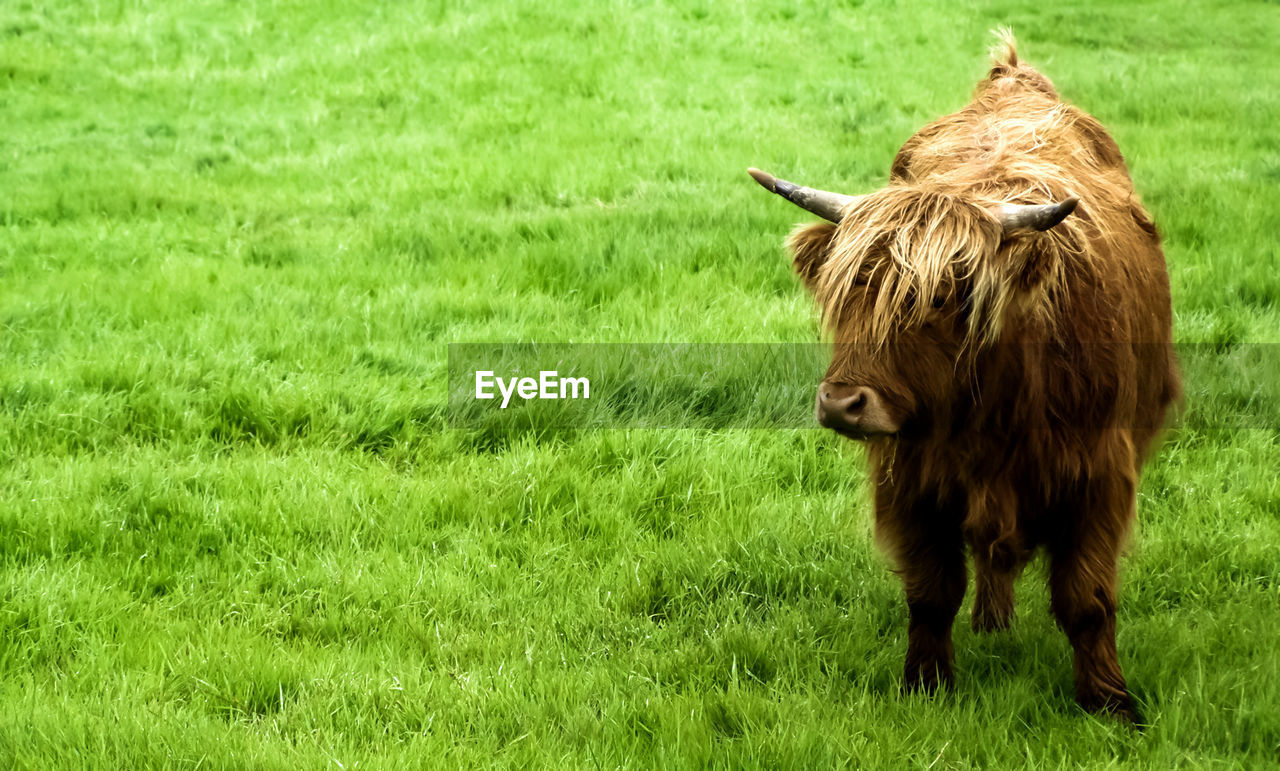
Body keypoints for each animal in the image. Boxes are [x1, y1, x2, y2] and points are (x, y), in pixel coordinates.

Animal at [747, 36, 1177, 722]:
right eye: (845, 292)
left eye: (946, 297)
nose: (842, 404)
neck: (989, 408)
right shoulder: (909, 479)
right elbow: (931, 591)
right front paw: (925, 684)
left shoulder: (1099, 474)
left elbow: (1086, 600)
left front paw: (1109, 702)